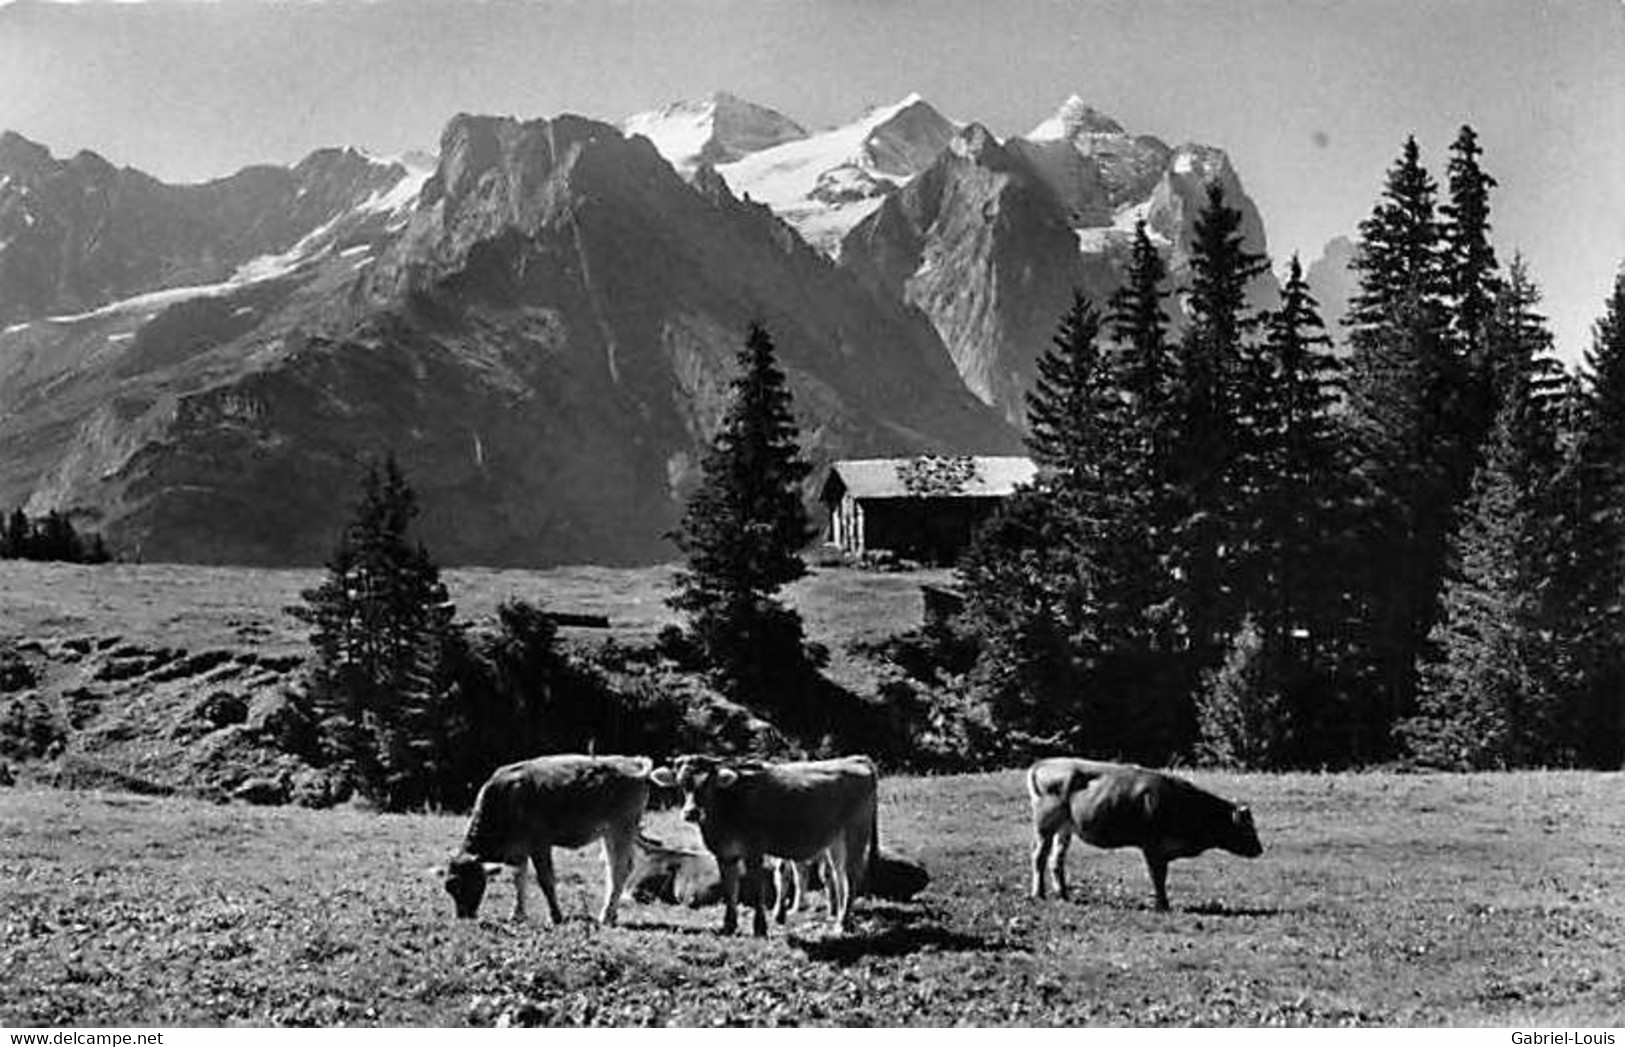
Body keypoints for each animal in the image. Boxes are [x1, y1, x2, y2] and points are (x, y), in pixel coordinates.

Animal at [445, 751, 653, 923]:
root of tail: (633, 762)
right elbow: (519, 879)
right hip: (611, 834)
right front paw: (517, 915)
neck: (507, 797)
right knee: (614, 867)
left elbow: (545, 880)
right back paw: (611, 914)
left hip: (621, 829)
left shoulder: (539, 845)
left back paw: (606, 916)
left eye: (464, 884)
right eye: (449, 887)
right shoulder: (519, 850)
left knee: (619, 869)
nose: (463, 916)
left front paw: (555, 916)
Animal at [650, 757, 884, 936]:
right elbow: (730, 890)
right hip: (835, 840)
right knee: (837, 874)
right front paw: (729, 926)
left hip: (855, 832)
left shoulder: (754, 851)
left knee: (852, 877)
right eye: (682, 783)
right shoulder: (724, 854)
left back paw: (842, 923)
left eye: (709, 784)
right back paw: (839, 915)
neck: (728, 805)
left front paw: (760, 928)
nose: (691, 813)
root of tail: (856, 760)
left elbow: (756, 891)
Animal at [1020, 757, 1261, 910]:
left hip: (1064, 831)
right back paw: (1038, 894)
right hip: (1044, 827)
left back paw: (1063, 894)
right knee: (1039, 856)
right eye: (1248, 828)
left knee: (1056, 859)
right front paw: (1162, 905)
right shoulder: (1153, 848)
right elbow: (1158, 876)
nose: (1259, 849)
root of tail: (1043, 763)